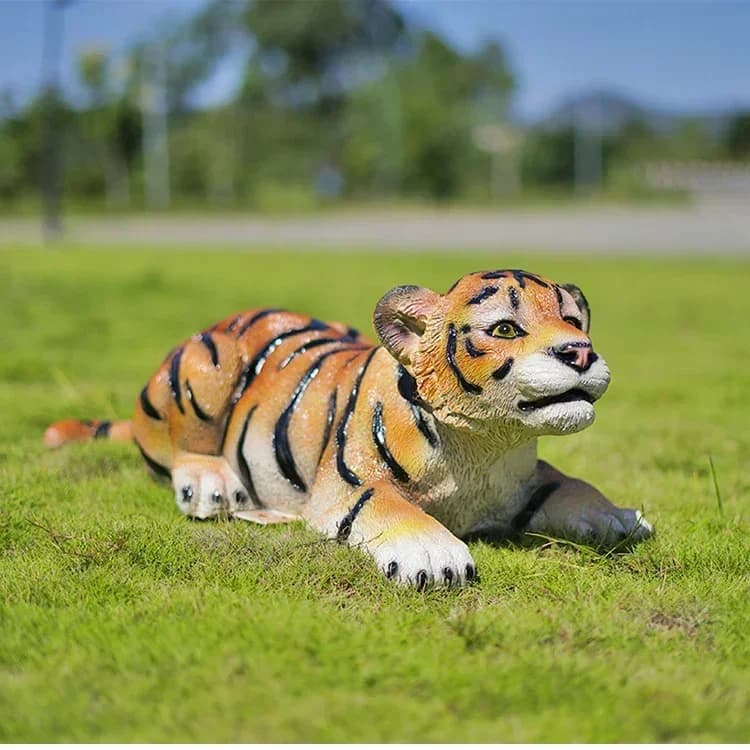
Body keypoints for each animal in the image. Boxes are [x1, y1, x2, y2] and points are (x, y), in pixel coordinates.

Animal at [45, 268, 653, 588]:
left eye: (572, 320)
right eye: (505, 328)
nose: (580, 352)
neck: (486, 443)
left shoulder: (523, 477)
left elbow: (569, 484)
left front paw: (617, 517)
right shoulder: (349, 483)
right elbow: (389, 506)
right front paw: (436, 555)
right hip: (205, 368)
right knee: (180, 449)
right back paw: (212, 485)